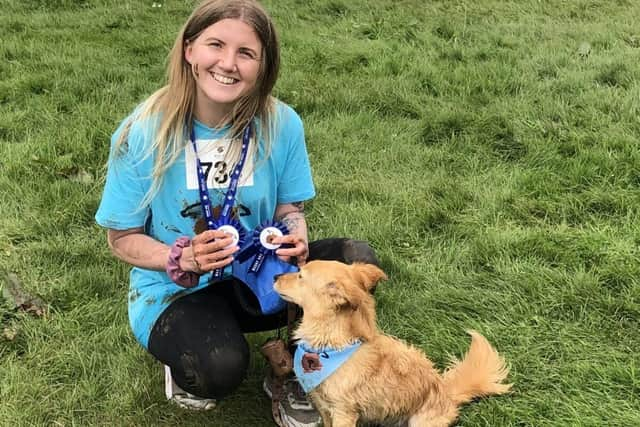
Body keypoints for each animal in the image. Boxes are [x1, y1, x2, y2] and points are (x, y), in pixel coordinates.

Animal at [272, 260, 512, 427]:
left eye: (300, 275)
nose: (275, 275)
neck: (331, 346)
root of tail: (447, 391)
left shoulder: (343, 413)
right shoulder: (323, 406)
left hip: (419, 423)